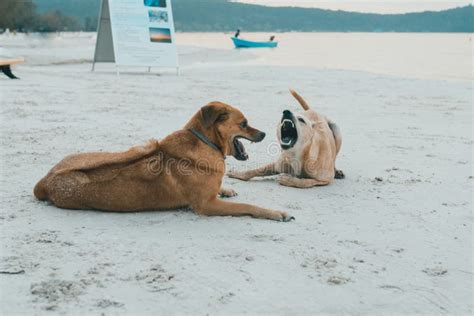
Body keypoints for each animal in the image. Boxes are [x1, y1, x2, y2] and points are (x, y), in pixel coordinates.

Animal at [33, 102, 292, 221]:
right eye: (244, 123)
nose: (265, 134)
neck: (205, 143)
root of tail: (46, 180)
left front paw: (226, 188)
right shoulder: (206, 205)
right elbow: (248, 207)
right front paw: (275, 213)